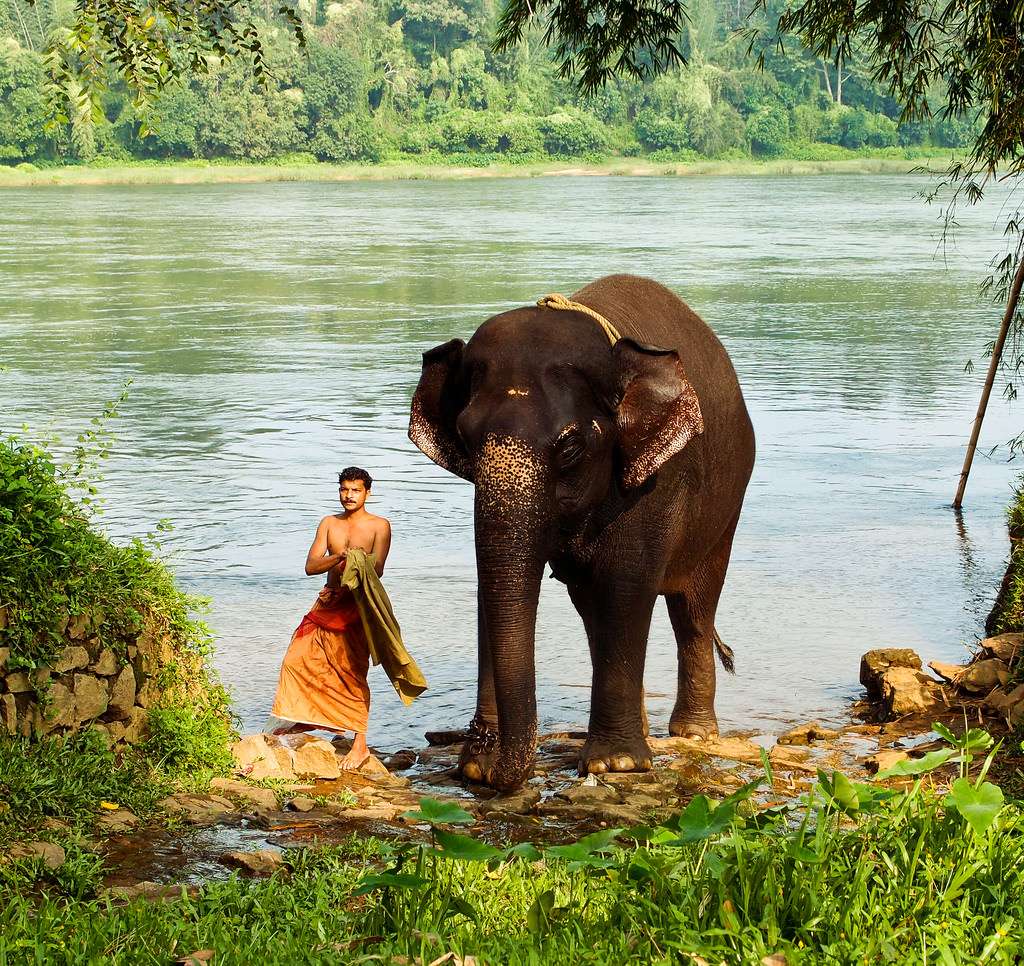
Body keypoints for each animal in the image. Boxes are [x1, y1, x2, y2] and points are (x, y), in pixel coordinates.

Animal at [408, 273, 754, 790]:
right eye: (466, 438)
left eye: (570, 447)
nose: (490, 756)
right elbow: (493, 589)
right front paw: (479, 766)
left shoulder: (654, 482)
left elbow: (625, 584)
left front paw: (617, 765)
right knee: (593, 610)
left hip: (726, 507)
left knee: (693, 607)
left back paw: (693, 734)